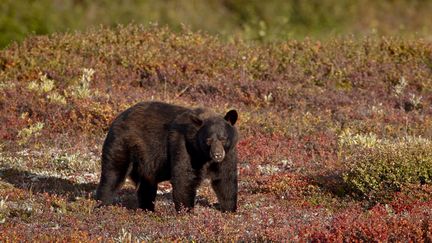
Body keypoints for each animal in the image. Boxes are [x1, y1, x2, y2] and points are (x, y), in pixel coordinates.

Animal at [96, 101, 240, 212]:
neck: (204, 156)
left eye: (223, 138)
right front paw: (186, 212)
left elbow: (225, 180)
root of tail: (117, 118)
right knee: (112, 176)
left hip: (145, 162)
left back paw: (148, 210)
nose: (217, 154)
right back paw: (101, 205)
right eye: (208, 140)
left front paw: (229, 210)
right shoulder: (184, 147)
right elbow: (184, 177)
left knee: (146, 186)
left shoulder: (228, 155)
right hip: (121, 144)